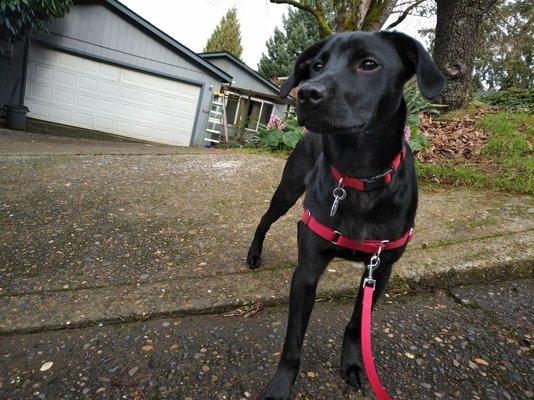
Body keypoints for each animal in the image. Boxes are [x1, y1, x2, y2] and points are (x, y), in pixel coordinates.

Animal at [248, 32, 448, 400]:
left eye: (369, 64)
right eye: (316, 65)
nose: (307, 93)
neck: (359, 176)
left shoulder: (379, 270)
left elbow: (356, 324)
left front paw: (354, 364)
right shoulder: (306, 272)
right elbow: (293, 340)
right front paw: (281, 384)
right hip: (288, 190)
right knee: (265, 220)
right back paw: (254, 254)